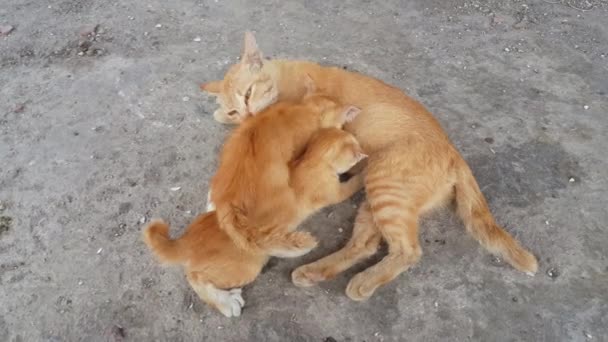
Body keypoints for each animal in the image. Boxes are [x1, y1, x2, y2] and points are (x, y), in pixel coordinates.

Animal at [144, 128, 366, 318]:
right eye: (355, 143)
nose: (362, 147)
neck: (311, 160)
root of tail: (187, 240)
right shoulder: (335, 191)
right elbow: (352, 185)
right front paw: (364, 172)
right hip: (247, 267)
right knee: (195, 277)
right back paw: (226, 303)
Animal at [202, 31, 540, 300]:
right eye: (234, 109)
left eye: (248, 93)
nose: (245, 114)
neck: (282, 77)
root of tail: (454, 153)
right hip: (379, 201)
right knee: (365, 244)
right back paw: (315, 271)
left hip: (384, 185)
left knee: (408, 251)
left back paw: (363, 283)